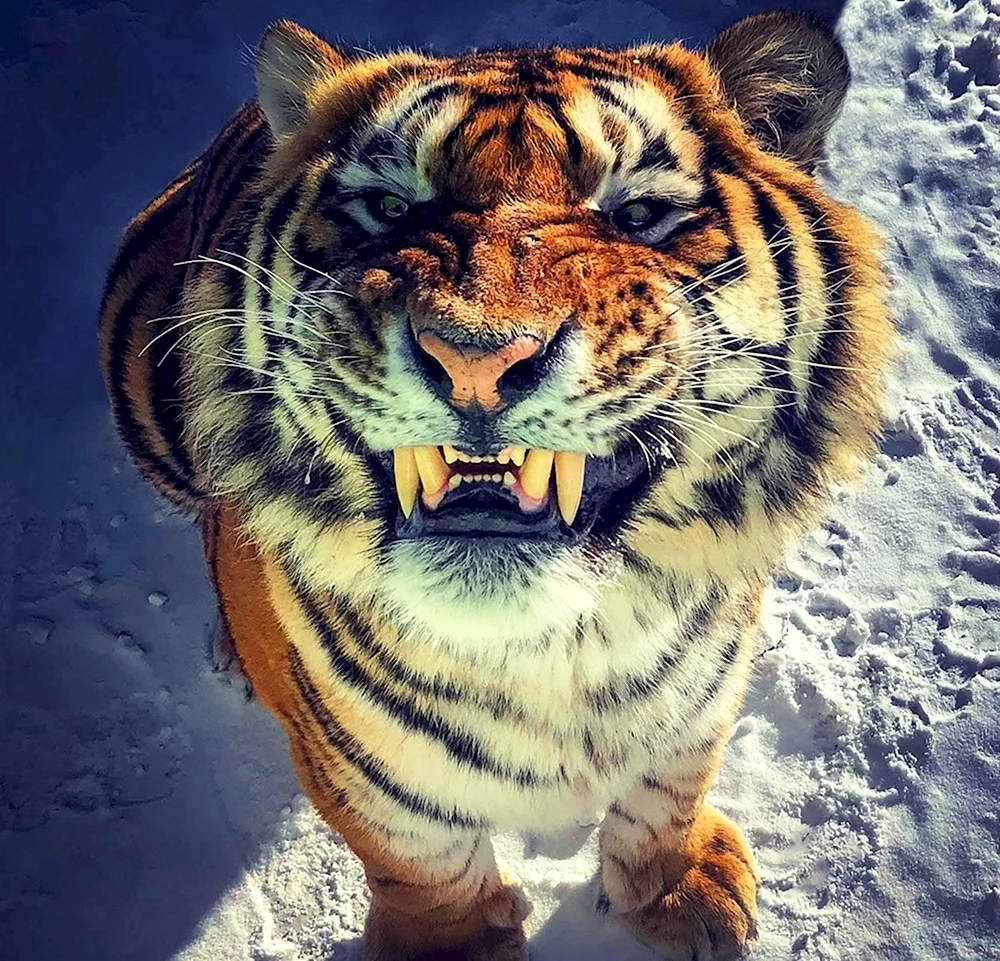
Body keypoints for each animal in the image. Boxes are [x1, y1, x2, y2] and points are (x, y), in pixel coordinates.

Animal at [98, 10, 892, 960]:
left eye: (639, 214)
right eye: (389, 207)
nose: (475, 357)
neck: (555, 652)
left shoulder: (703, 691)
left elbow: (670, 787)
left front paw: (680, 891)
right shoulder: (362, 770)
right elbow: (420, 860)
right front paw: (454, 943)